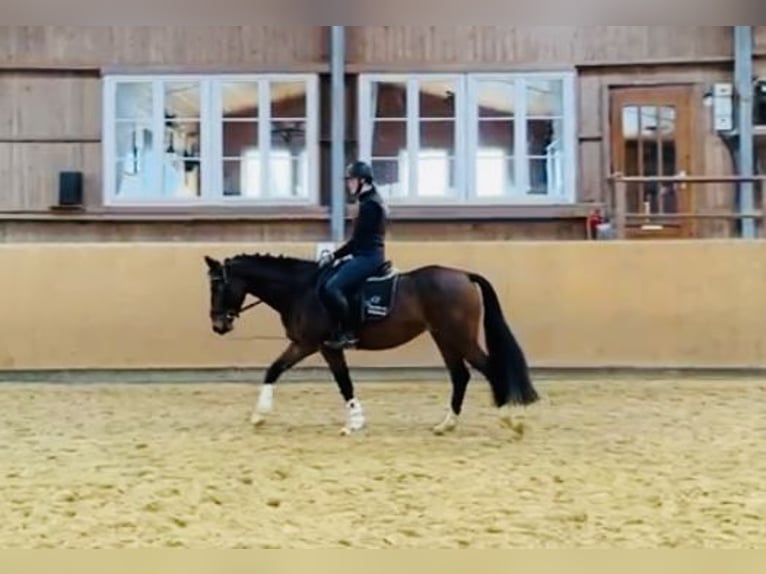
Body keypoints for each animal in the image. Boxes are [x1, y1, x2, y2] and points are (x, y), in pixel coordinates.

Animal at [204, 252, 540, 436]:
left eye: (218, 286)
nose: (218, 326)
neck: (302, 289)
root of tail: (464, 276)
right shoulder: (327, 347)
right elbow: (344, 383)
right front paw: (355, 422)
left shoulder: (312, 344)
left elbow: (275, 370)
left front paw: (259, 416)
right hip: (444, 337)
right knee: (461, 376)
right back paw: (446, 425)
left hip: (459, 336)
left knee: (490, 369)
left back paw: (512, 420)